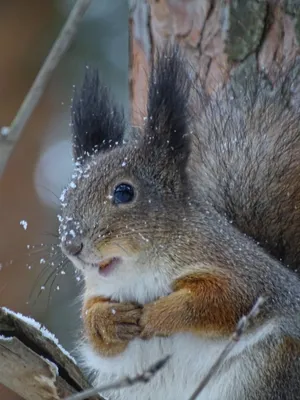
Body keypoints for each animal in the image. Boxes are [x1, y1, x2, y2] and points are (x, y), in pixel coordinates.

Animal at [58, 47, 300, 400]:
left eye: (124, 192)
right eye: (67, 196)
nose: (71, 246)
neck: (141, 268)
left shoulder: (244, 273)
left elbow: (222, 299)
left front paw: (160, 315)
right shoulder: (98, 291)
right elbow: (95, 333)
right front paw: (110, 319)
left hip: (265, 372)